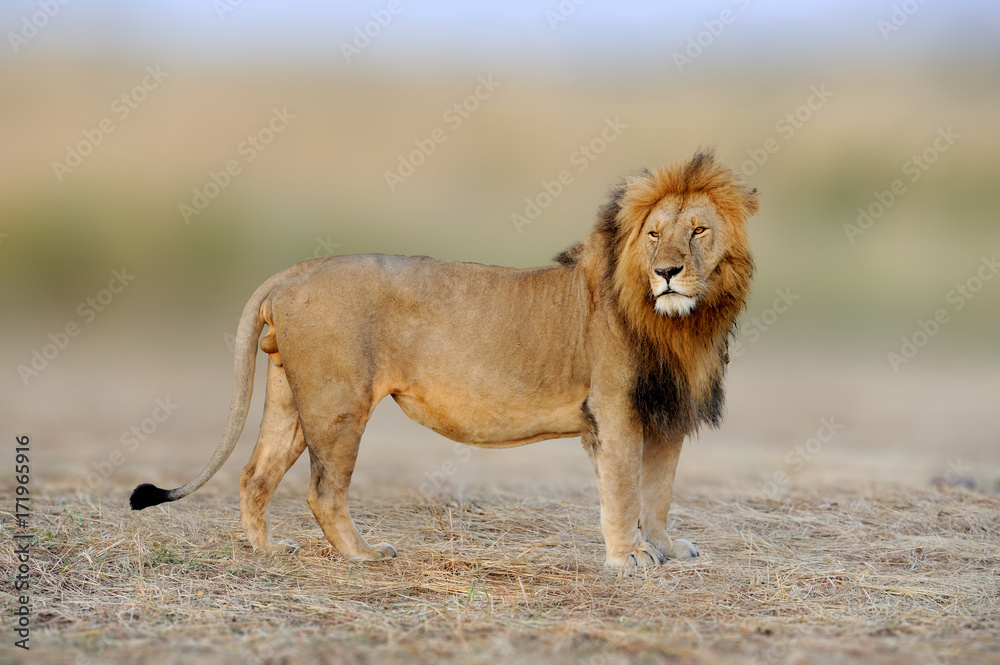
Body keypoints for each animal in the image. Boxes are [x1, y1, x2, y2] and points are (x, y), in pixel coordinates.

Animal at [130, 150, 757, 569]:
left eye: (698, 230)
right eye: (653, 236)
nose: (667, 272)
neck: (683, 323)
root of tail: (294, 270)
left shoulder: (666, 416)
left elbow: (659, 491)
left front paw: (667, 548)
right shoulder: (616, 413)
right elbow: (625, 489)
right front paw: (629, 559)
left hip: (292, 396)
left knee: (254, 475)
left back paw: (266, 549)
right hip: (339, 405)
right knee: (323, 492)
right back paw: (364, 555)